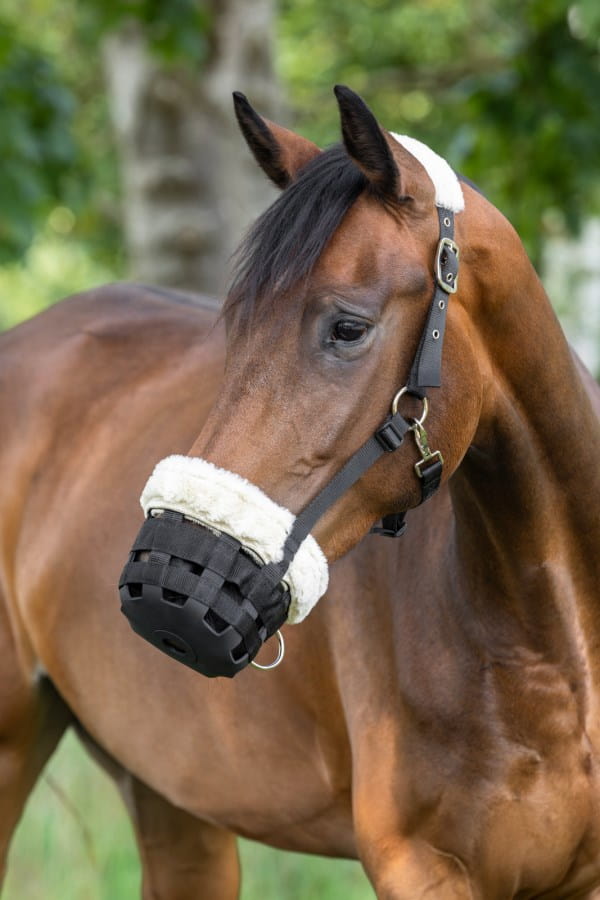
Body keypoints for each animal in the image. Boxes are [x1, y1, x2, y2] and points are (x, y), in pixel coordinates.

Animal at [1, 84, 599, 899]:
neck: (553, 653)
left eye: (348, 327)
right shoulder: (419, 866)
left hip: (171, 798)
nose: (168, 584)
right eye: (236, 324)